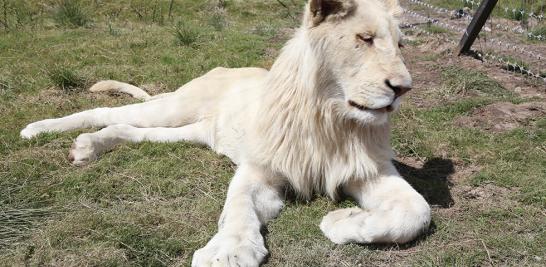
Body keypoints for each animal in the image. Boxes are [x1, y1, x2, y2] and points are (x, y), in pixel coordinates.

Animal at [21, 1, 430, 266]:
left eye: (400, 45)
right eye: (364, 38)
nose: (403, 88)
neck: (330, 120)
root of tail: (219, 68)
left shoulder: (370, 170)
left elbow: (417, 212)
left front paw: (341, 222)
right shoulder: (259, 169)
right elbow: (238, 207)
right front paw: (228, 252)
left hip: (193, 131)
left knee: (127, 129)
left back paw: (89, 146)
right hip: (174, 107)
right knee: (103, 112)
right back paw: (38, 131)